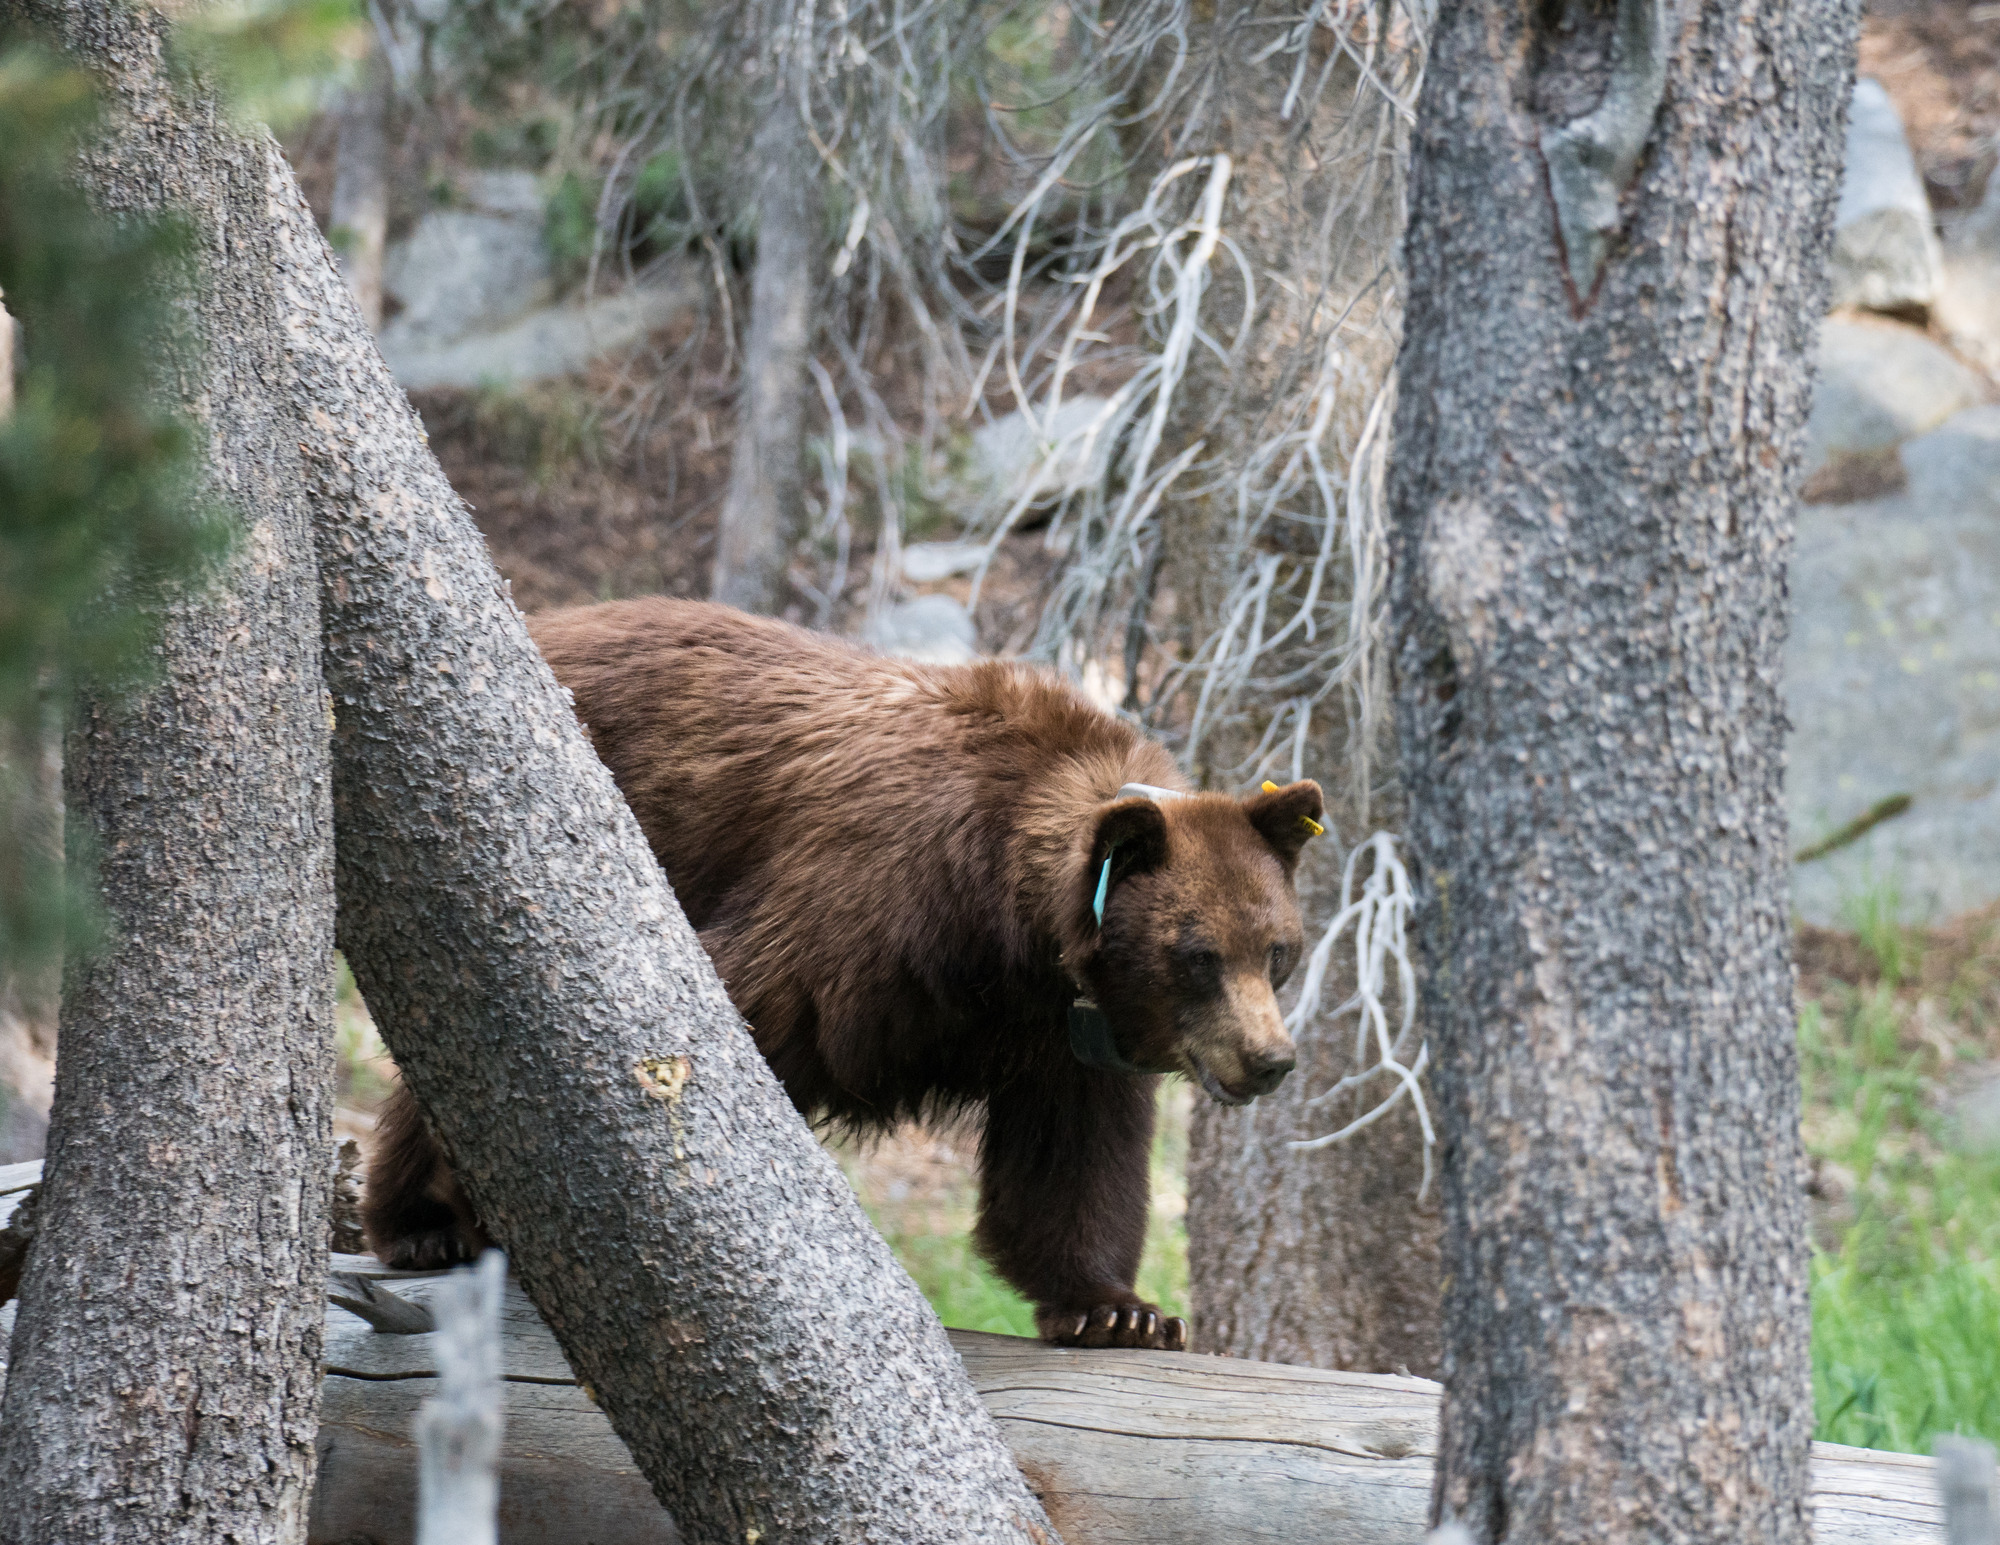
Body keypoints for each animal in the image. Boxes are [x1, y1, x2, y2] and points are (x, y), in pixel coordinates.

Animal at [366, 596, 1320, 1344]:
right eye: (1196, 955)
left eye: (1278, 948)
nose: (1271, 1060)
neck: (1006, 920)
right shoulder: (867, 911)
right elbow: (723, 1019)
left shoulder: (1064, 1037)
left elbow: (1073, 1163)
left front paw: (1121, 1309)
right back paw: (423, 1221)